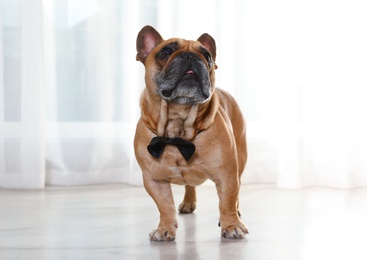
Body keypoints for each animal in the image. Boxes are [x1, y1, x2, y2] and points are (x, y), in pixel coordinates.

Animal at [134, 25, 249, 241]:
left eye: (207, 56)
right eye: (166, 52)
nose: (191, 56)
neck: (178, 129)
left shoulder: (227, 174)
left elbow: (227, 200)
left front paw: (231, 225)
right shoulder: (153, 179)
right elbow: (164, 206)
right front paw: (165, 228)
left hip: (241, 159)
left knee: (236, 193)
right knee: (190, 186)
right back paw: (188, 202)